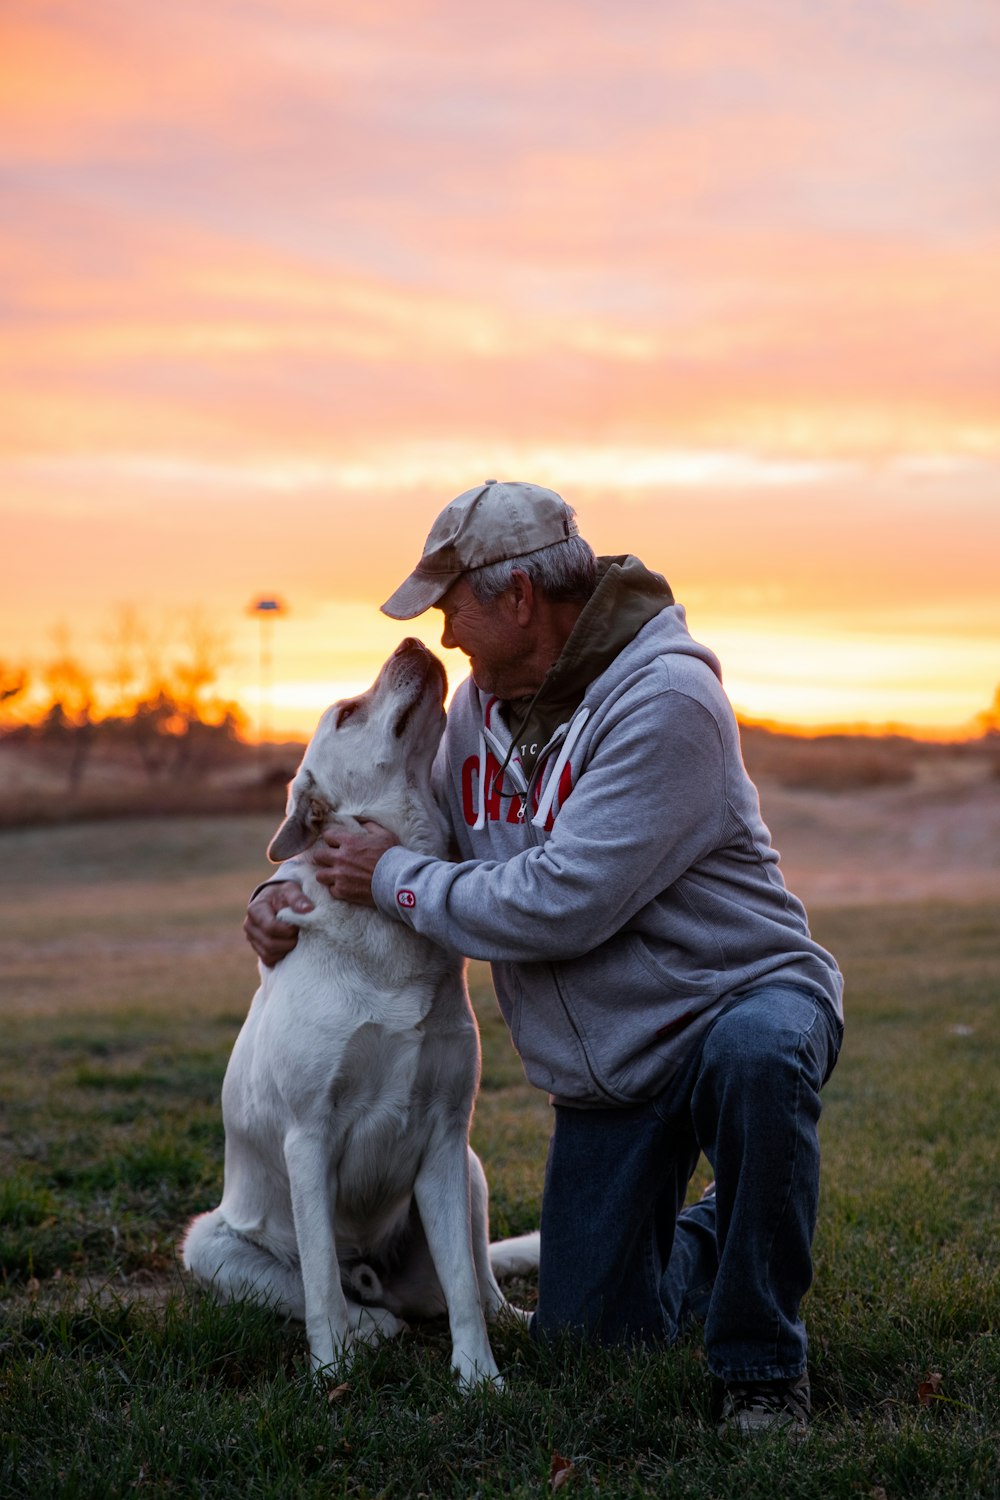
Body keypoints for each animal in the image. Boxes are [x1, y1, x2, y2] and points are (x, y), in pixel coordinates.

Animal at [182, 639, 521, 1386]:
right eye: (346, 713)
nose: (414, 643)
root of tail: (374, 1274)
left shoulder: (445, 1137)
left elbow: (462, 1284)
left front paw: (478, 1378)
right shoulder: (309, 1137)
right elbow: (317, 1287)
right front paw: (329, 1373)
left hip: (473, 1170)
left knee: (476, 1280)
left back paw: (517, 1320)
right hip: (209, 1245)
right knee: (329, 1292)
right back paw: (370, 1329)